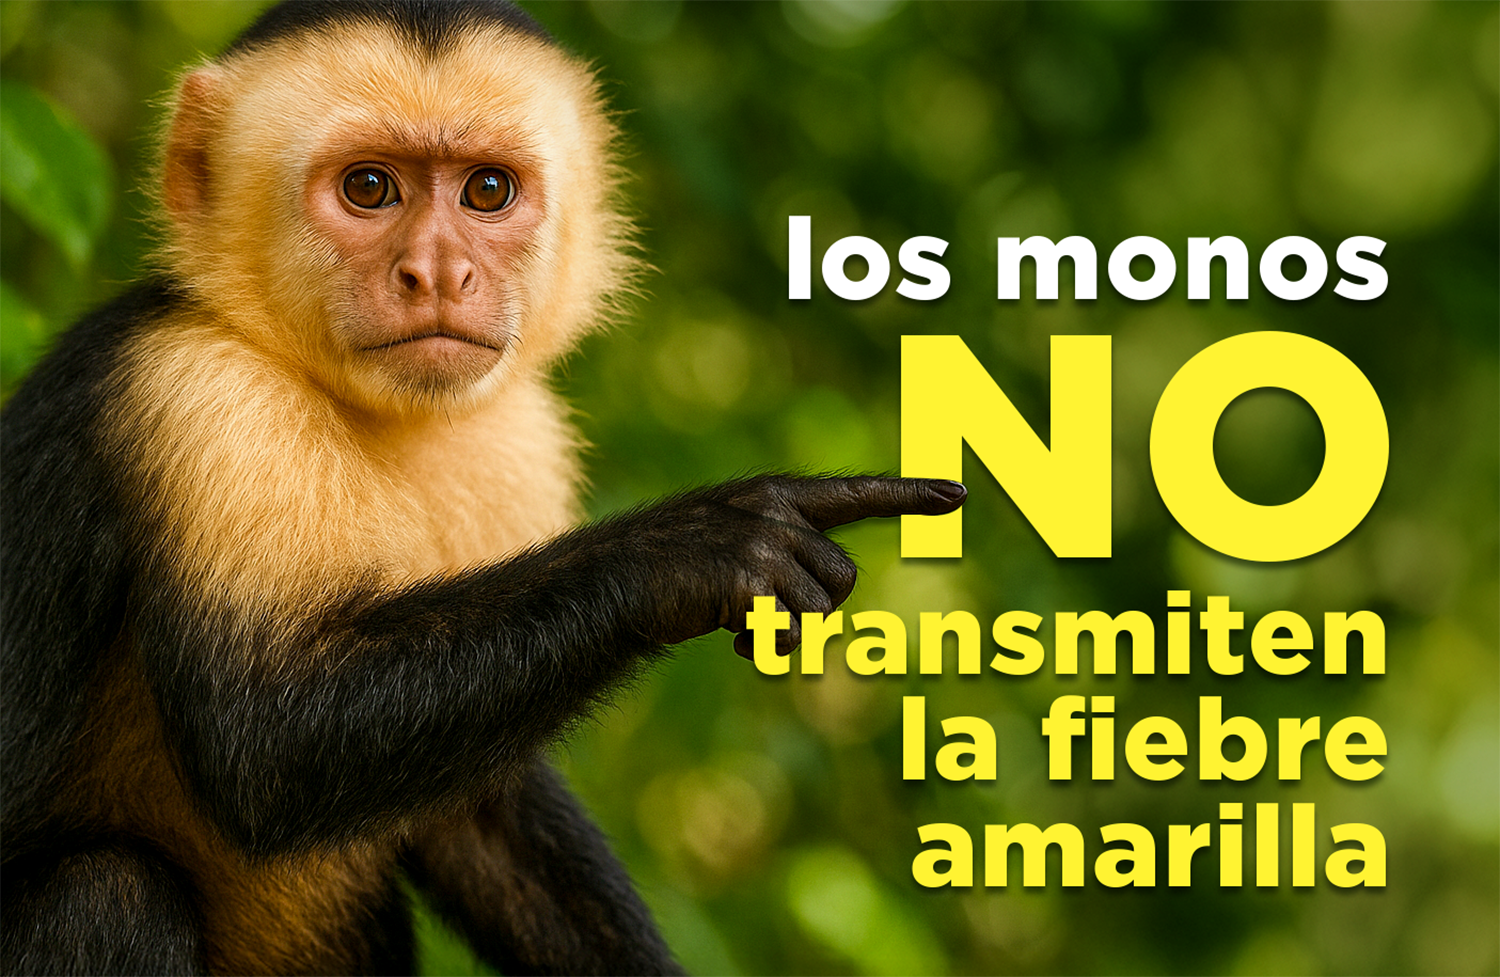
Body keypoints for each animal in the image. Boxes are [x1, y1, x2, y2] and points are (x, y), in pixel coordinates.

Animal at [0, 1, 965, 975]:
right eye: (369, 188)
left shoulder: (524, 440)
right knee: (108, 895)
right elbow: (257, 739)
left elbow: (476, 799)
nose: (436, 273)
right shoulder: (194, 393)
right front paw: (701, 545)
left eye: (488, 191)